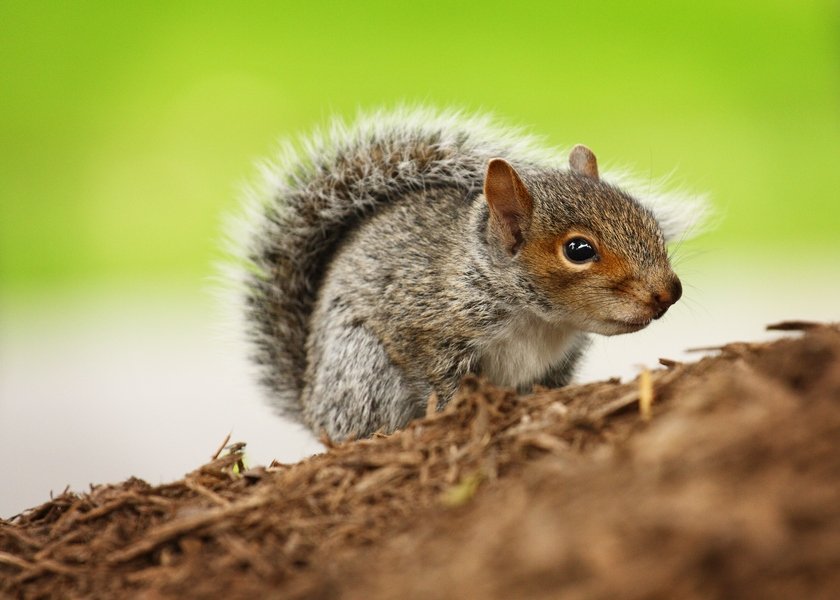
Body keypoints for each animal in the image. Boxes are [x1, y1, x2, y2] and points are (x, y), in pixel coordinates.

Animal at [232, 107, 703, 441]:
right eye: (579, 250)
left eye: (647, 218)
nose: (669, 292)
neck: (535, 318)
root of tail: (311, 403)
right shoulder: (427, 333)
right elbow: (441, 387)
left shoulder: (556, 364)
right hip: (363, 368)